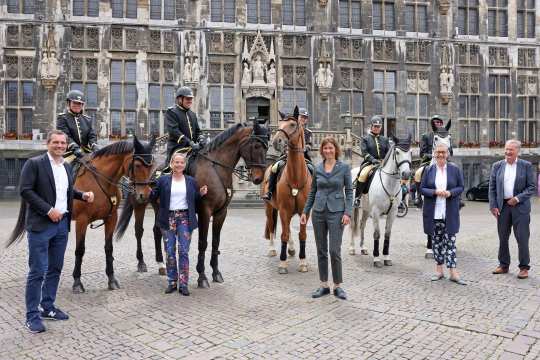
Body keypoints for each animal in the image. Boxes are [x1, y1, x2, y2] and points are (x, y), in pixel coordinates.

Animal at [6, 136, 155, 292]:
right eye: (137, 165)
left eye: (151, 166)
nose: (144, 195)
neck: (101, 181)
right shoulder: (82, 220)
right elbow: (80, 249)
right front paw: (77, 281)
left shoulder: (111, 218)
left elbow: (109, 248)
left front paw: (111, 278)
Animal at [116, 119, 272, 288]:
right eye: (256, 146)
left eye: (266, 146)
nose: (258, 178)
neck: (215, 169)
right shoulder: (205, 211)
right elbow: (203, 243)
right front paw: (202, 276)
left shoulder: (221, 213)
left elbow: (215, 242)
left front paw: (216, 273)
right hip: (140, 202)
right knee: (139, 230)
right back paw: (141, 263)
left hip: (159, 206)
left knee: (157, 231)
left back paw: (161, 264)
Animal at [262, 106, 310, 272]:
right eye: (280, 123)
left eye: (292, 124)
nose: (277, 141)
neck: (295, 178)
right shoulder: (283, 209)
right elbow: (283, 234)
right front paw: (283, 264)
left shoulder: (303, 211)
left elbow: (302, 234)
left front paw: (303, 262)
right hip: (270, 207)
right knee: (272, 226)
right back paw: (272, 249)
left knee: (288, 229)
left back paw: (292, 249)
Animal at [348, 136, 412, 268]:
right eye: (397, 152)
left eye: (410, 152)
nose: (406, 174)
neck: (389, 184)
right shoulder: (376, 212)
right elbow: (377, 234)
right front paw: (377, 258)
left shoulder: (392, 213)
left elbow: (387, 234)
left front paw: (386, 257)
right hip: (353, 208)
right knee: (352, 225)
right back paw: (352, 248)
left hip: (366, 210)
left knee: (362, 225)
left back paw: (363, 248)